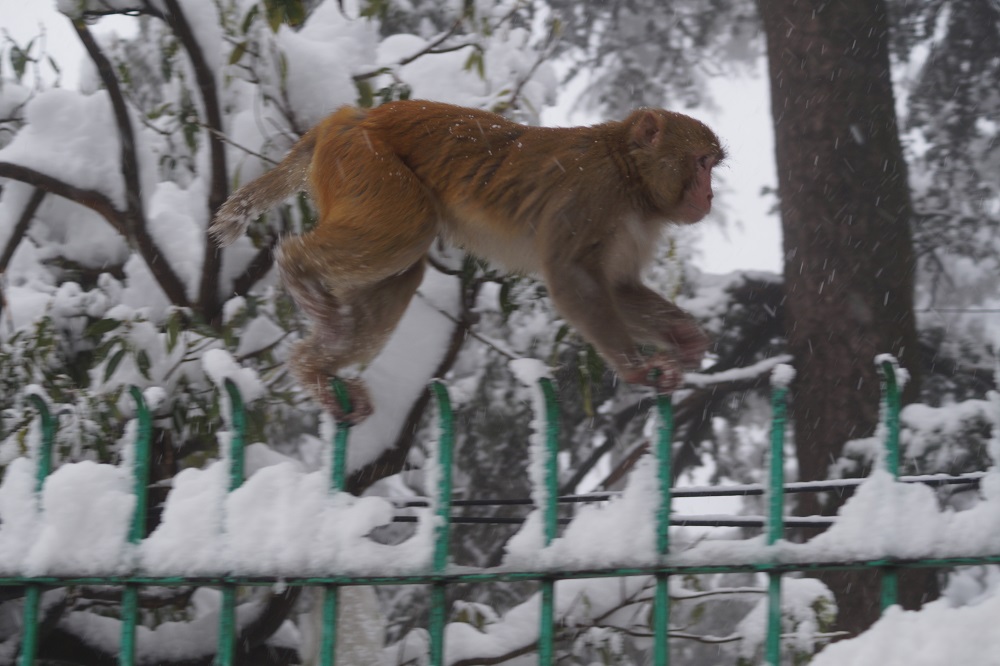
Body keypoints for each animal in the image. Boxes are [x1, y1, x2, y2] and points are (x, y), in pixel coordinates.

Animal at [213, 100, 728, 420]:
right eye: (701, 163)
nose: (709, 196)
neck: (628, 175)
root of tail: (347, 116)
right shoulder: (591, 194)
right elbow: (572, 277)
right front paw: (635, 366)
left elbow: (618, 287)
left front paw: (684, 338)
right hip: (366, 162)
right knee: (409, 229)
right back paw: (298, 269)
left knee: (402, 269)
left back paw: (314, 367)